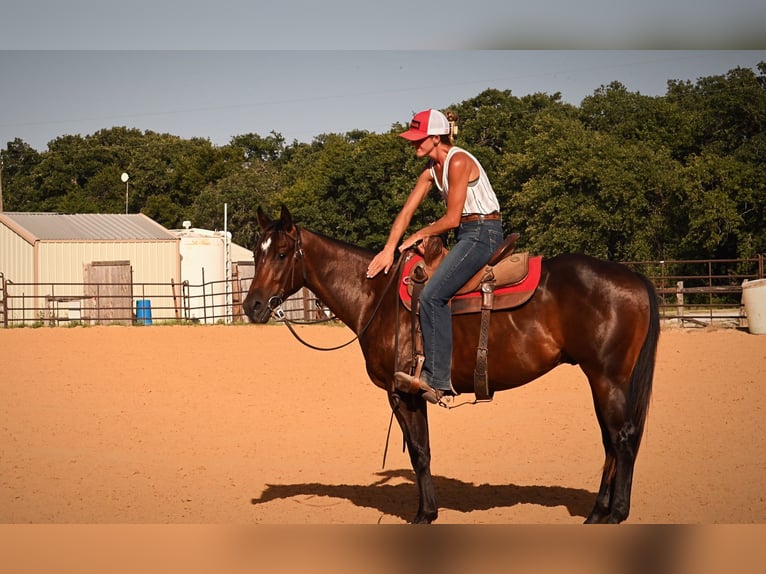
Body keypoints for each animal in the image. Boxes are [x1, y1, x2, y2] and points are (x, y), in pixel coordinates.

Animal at [243, 205, 660, 524]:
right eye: (257, 253)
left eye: (281, 254)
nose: (252, 305)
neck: (376, 297)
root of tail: (634, 276)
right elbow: (421, 450)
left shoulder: (403, 392)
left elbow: (420, 452)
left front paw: (424, 514)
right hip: (600, 379)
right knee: (610, 441)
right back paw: (597, 512)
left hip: (608, 378)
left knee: (622, 439)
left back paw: (616, 513)